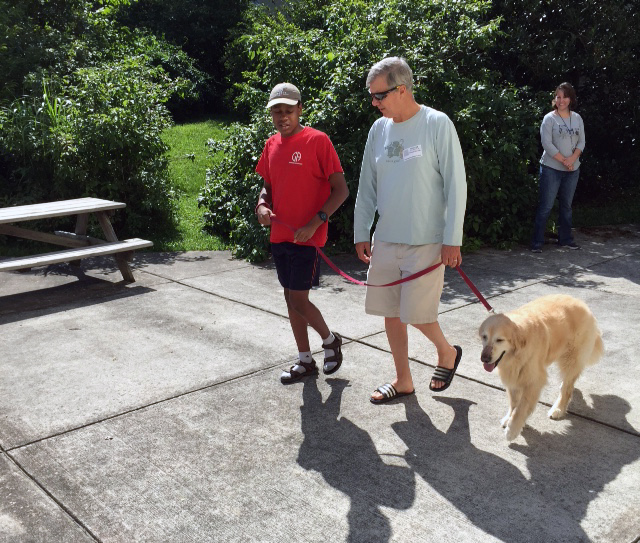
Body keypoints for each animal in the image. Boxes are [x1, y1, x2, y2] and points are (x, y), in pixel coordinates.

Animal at [478, 294, 604, 442]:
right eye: (484, 337)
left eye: (499, 340)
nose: (484, 358)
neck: (517, 352)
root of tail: (581, 303)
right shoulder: (513, 376)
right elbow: (514, 403)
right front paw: (509, 419)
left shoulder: (534, 381)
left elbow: (521, 408)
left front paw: (512, 430)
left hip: (571, 360)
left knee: (567, 388)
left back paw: (558, 409)